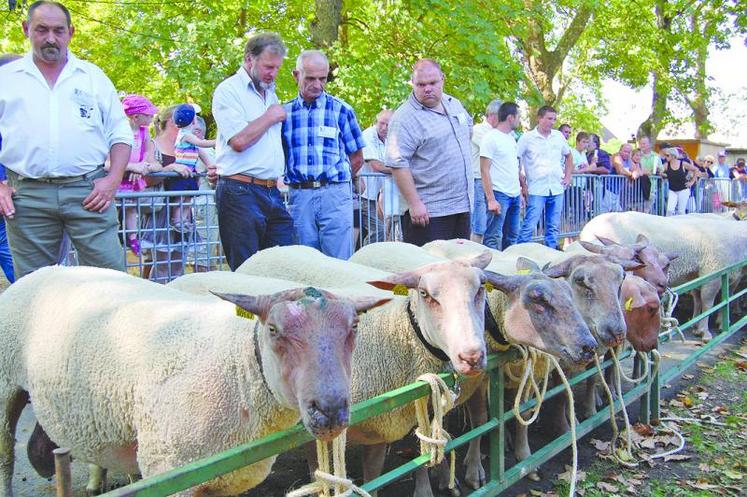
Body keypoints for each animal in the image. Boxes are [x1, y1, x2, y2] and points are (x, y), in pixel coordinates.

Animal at [0, 266, 388, 497]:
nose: (330, 410)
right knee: (5, 455)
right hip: (5, 386)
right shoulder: (170, 470)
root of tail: (48, 268)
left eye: (355, 326)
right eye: (273, 330)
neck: (238, 368)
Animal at [580, 211, 747, 341]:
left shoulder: (700, 273)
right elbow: (708, 302)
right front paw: (705, 332)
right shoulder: (714, 271)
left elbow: (701, 297)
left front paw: (698, 323)